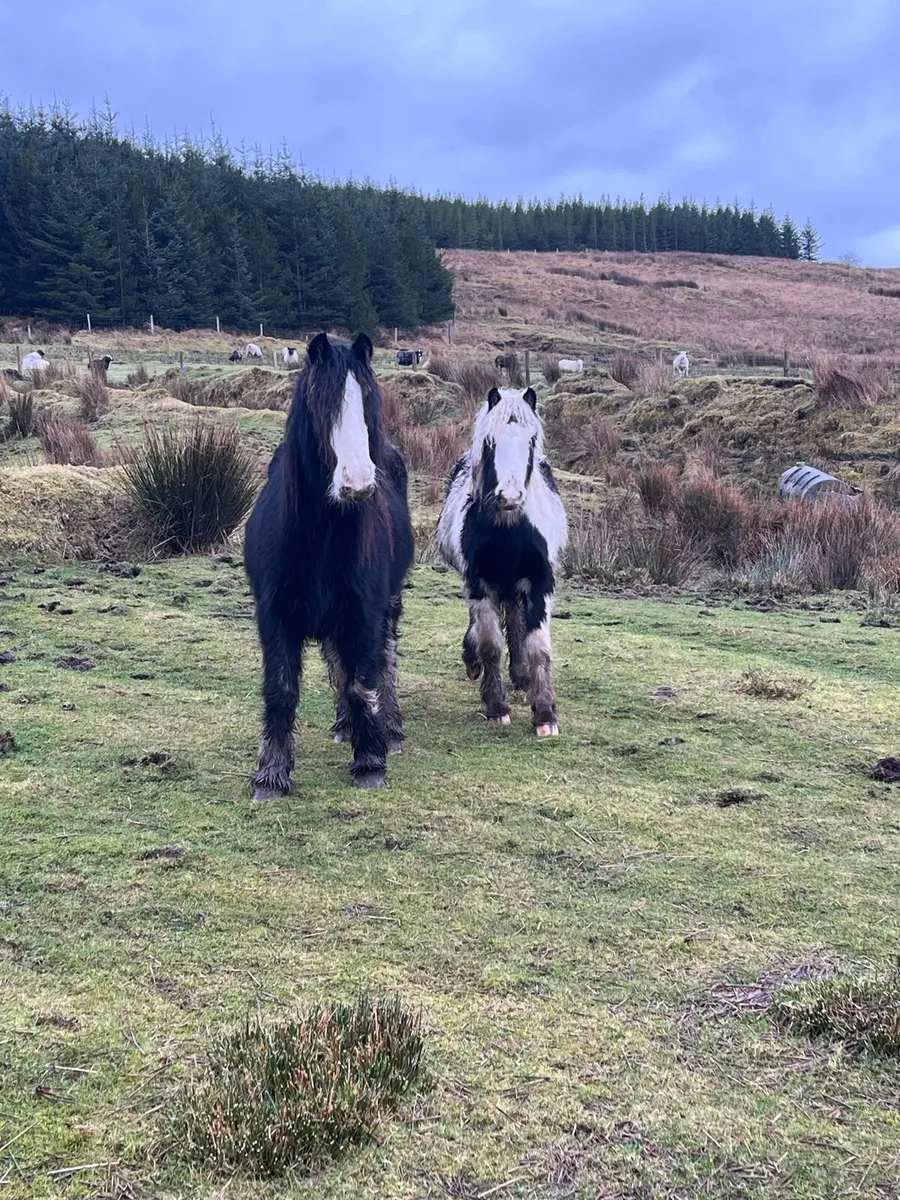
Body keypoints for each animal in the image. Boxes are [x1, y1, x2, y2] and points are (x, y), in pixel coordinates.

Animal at [244, 332, 415, 797]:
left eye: (368, 400)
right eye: (322, 403)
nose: (358, 482)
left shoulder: (365, 611)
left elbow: (362, 683)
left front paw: (370, 760)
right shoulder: (274, 614)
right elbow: (282, 689)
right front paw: (272, 773)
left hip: (387, 606)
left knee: (384, 662)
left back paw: (389, 729)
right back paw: (345, 725)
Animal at [436, 386, 568, 737]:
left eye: (532, 439)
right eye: (490, 441)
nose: (509, 497)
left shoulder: (540, 582)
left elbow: (538, 645)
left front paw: (545, 713)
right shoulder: (479, 582)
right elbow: (490, 644)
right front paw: (496, 707)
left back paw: (522, 676)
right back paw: (474, 663)